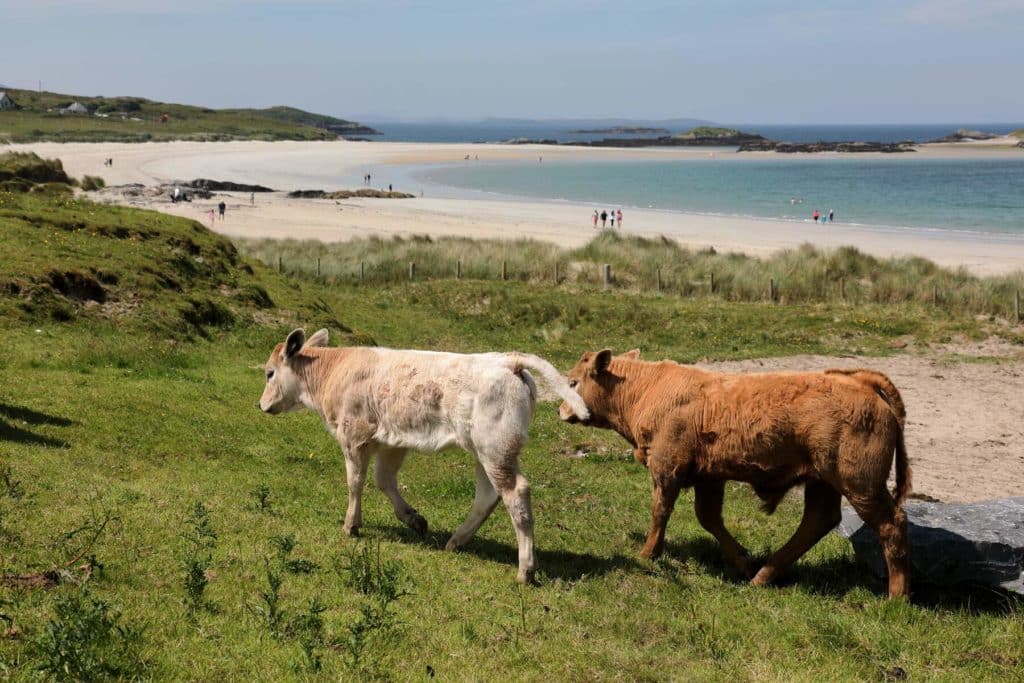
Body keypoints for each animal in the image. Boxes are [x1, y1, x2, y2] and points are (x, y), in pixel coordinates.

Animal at [260, 327, 589, 585]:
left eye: (269, 373)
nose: (261, 405)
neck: (334, 371)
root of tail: (507, 359)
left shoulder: (354, 435)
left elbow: (355, 482)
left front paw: (351, 525)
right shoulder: (392, 441)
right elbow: (384, 480)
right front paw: (414, 519)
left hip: (495, 448)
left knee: (515, 493)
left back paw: (525, 569)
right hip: (484, 451)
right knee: (487, 495)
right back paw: (456, 541)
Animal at [561, 352, 913, 598]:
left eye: (573, 382)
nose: (561, 410)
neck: (647, 389)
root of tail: (860, 382)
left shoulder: (666, 468)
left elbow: (660, 511)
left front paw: (648, 553)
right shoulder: (709, 478)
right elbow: (709, 518)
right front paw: (743, 561)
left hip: (860, 485)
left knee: (891, 525)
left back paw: (897, 597)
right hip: (823, 482)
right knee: (817, 522)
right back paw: (763, 575)